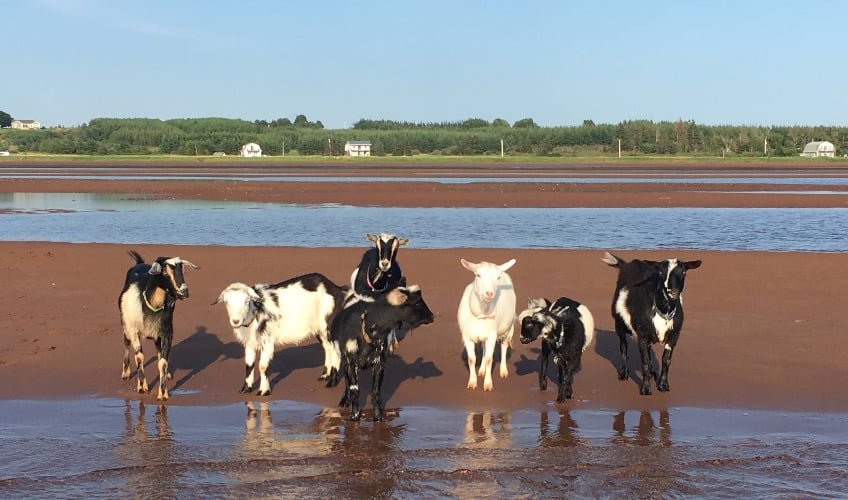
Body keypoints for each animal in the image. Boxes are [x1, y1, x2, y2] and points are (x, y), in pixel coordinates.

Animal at [117, 252, 197, 400]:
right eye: (164, 271)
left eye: (182, 269)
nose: (184, 292)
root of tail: (139, 263)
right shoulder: (134, 330)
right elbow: (139, 357)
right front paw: (142, 387)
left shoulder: (167, 333)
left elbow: (163, 362)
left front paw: (163, 393)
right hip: (125, 324)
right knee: (126, 343)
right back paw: (125, 373)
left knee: (158, 351)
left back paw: (167, 374)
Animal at [215, 274, 354, 394]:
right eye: (226, 302)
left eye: (246, 301)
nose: (236, 321)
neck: (257, 310)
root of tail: (336, 289)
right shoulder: (250, 343)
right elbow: (249, 365)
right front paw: (245, 388)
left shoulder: (267, 341)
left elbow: (262, 366)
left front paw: (264, 391)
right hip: (319, 329)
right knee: (327, 348)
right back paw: (325, 375)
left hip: (328, 325)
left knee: (336, 351)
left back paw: (332, 382)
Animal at [328, 286, 434, 422]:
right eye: (417, 303)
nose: (432, 316)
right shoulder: (351, 363)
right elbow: (354, 389)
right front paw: (354, 416)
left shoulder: (379, 364)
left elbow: (376, 391)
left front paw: (378, 417)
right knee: (347, 381)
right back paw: (344, 401)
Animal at [458, 260, 516, 392]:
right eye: (478, 275)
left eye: (498, 277)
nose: (489, 293)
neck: (481, 313)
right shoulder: (467, 336)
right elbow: (471, 359)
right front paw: (472, 382)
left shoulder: (492, 335)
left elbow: (490, 359)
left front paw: (488, 384)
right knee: (484, 348)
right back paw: (481, 370)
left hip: (507, 328)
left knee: (504, 347)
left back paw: (503, 371)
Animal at [604, 252, 704, 396]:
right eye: (661, 272)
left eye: (684, 271)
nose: (672, 292)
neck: (663, 310)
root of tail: (627, 264)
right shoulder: (642, 335)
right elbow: (644, 361)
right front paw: (646, 389)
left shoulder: (674, 336)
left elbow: (666, 360)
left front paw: (663, 385)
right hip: (619, 323)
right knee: (623, 345)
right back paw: (623, 373)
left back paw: (651, 373)